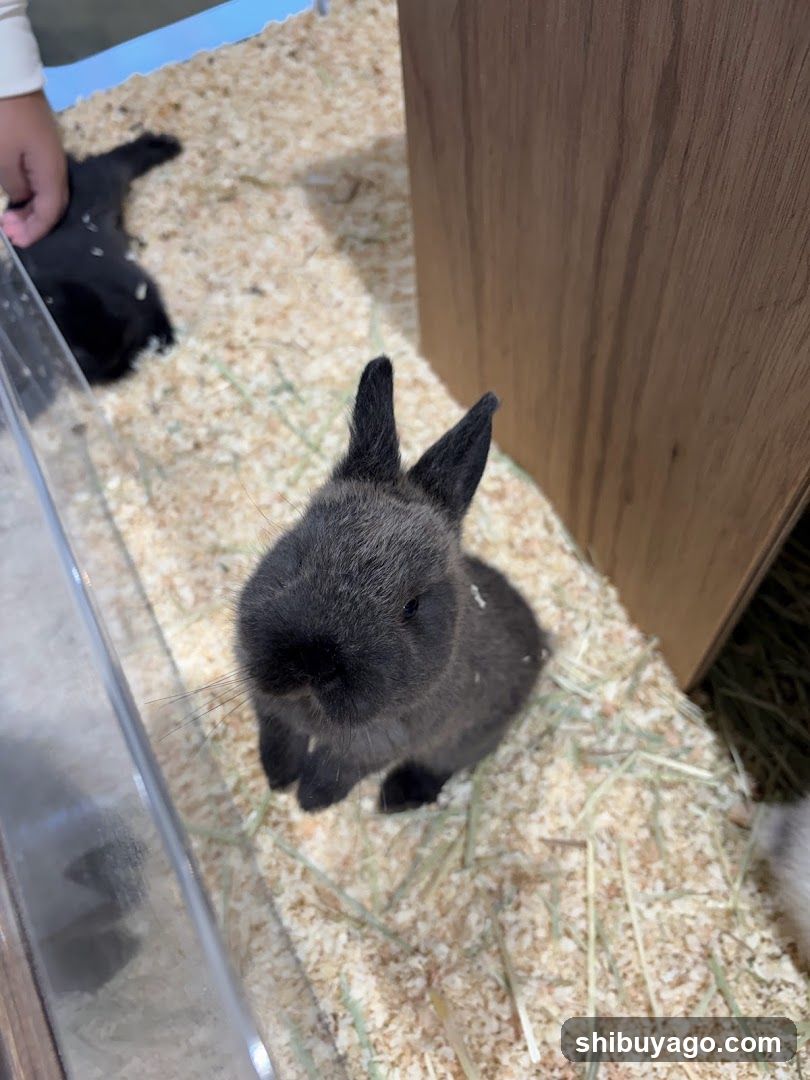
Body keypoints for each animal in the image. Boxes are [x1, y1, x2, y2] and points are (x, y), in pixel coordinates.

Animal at [13, 131, 182, 385]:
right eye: (78, 355)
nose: (122, 369)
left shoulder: (141, 289)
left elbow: (157, 313)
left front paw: (167, 341)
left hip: (110, 178)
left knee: (122, 158)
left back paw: (163, 145)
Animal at [236, 356, 549, 813]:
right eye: (299, 554)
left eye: (412, 606)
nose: (315, 662)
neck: (311, 705)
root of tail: (543, 643)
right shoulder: (269, 706)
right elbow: (279, 738)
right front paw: (278, 779)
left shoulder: (375, 746)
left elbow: (333, 771)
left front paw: (309, 801)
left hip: (468, 739)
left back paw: (393, 798)